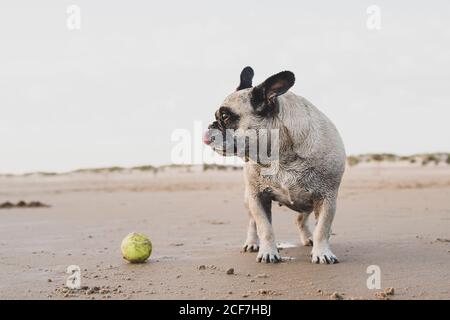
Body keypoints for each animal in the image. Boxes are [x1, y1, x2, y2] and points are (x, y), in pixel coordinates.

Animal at [202, 66, 346, 264]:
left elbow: (322, 229)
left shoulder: (327, 198)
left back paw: (308, 238)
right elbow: (265, 228)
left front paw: (322, 252)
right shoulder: (258, 197)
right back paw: (252, 243)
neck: (281, 156)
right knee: (252, 223)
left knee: (301, 219)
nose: (211, 124)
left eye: (225, 116)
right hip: (248, 199)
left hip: (308, 202)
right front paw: (268, 252)